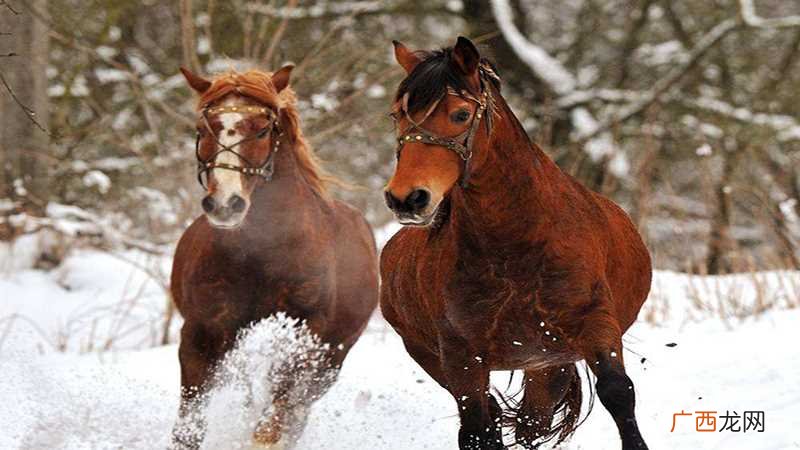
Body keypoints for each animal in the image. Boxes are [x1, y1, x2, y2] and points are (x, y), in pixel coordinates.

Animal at [170, 66, 379, 449]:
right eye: (203, 129)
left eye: (263, 129)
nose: (225, 204)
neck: (263, 253)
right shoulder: (202, 331)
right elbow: (188, 429)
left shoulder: (308, 333)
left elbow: (272, 424)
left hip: (332, 359)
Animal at [380, 37, 652, 450]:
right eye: (398, 115)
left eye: (460, 114)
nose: (406, 198)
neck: (515, 248)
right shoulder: (460, 355)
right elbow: (477, 428)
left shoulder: (594, 323)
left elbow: (618, 392)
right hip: (435, 355)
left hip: (549, 362)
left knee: (532, 420)